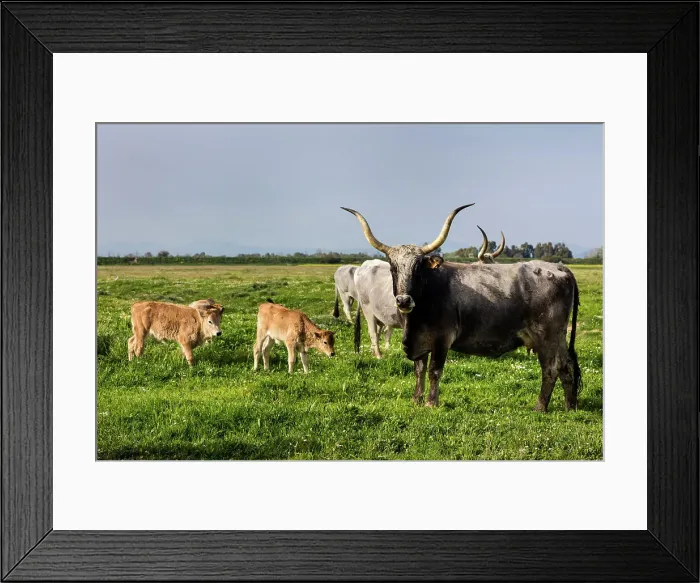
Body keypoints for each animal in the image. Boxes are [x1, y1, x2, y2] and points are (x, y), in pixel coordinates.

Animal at [342, 204, 581, 412]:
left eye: (418, 267)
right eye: (393, 267)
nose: (403, 301)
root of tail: (559, 268)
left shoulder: (442, 340)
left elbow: (434, 371)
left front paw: (431, 403)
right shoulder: (418, 339)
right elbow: (419, 370)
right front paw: (416, 400)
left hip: (546, 337)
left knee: (551, 368)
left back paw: (540, 407)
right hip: (558, 337)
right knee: (566, 366)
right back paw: (570, 406)